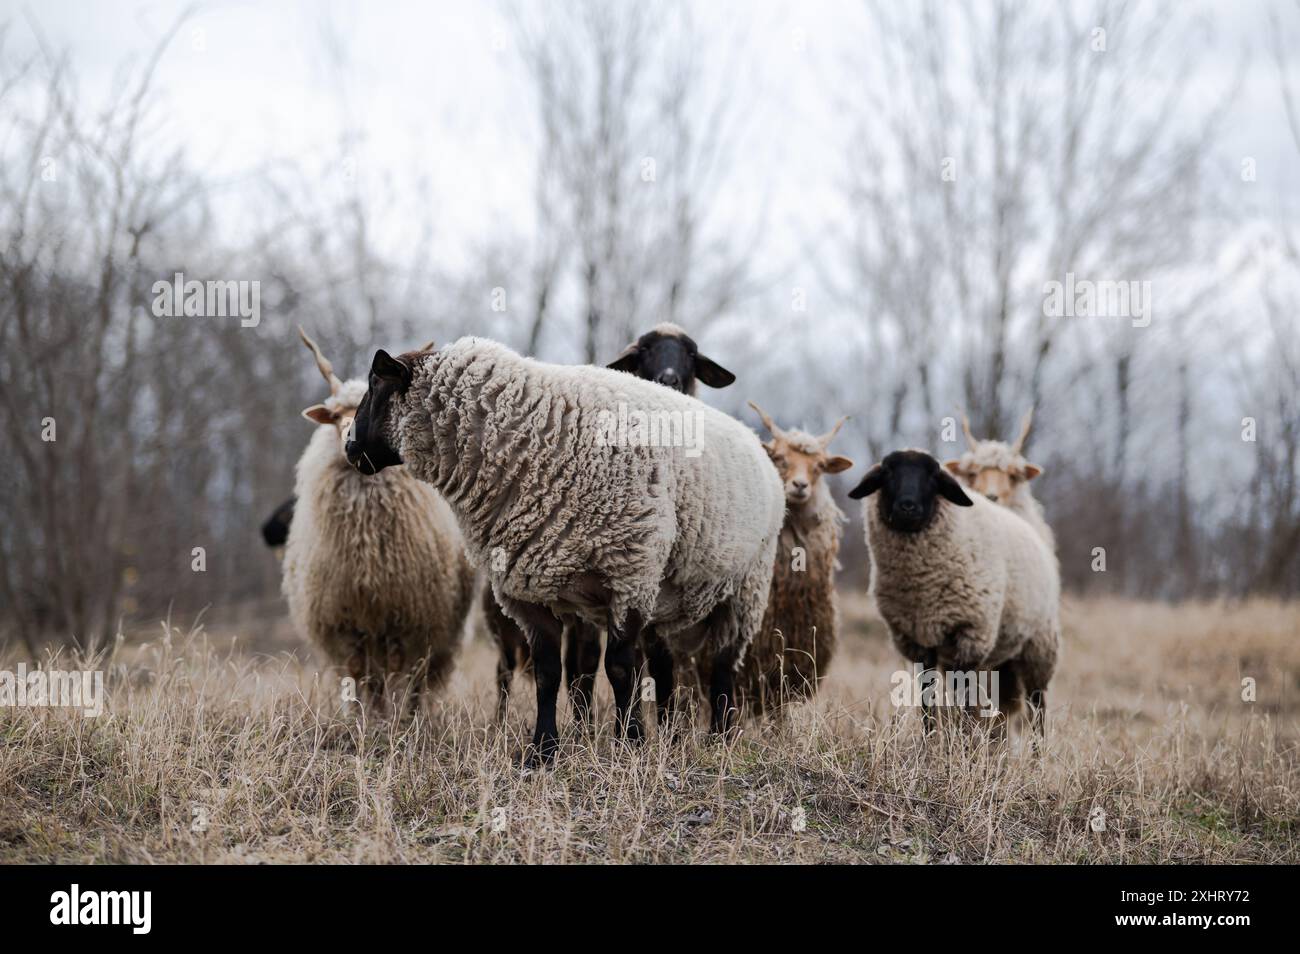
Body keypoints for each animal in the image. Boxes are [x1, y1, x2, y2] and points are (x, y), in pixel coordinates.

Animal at [282, 327, 475, 712]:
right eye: (332, 414)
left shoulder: (404, 619)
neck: (367, 546)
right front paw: (364, 716)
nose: (349, 439)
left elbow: (401, 671)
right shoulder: (347, 623)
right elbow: (360, 676)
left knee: (417, 676)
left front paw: (396, 717)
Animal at [344, 336, 785, 762]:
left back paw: (719, 737)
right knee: (664, 667)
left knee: (723, 665)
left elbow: (619, 669)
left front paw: (629, 744)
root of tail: (751, 438)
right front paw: (543, 751)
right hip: (666, 595)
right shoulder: (527, 593)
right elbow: (548, 673)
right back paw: (672, 738)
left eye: (374, 383)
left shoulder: (629, 573)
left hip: (746, 588)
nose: (349, 447)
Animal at [848, 449, 1060, 737]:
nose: (907, 506)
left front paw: (963, 741)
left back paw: (1038, 748)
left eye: (933, 476)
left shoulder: (971, 634)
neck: (921, 585)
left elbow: (965, 701)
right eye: (888, 472)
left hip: (1038, 646)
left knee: (1037, 706)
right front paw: (930, 740)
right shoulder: (919, 642)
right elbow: (928, 700)